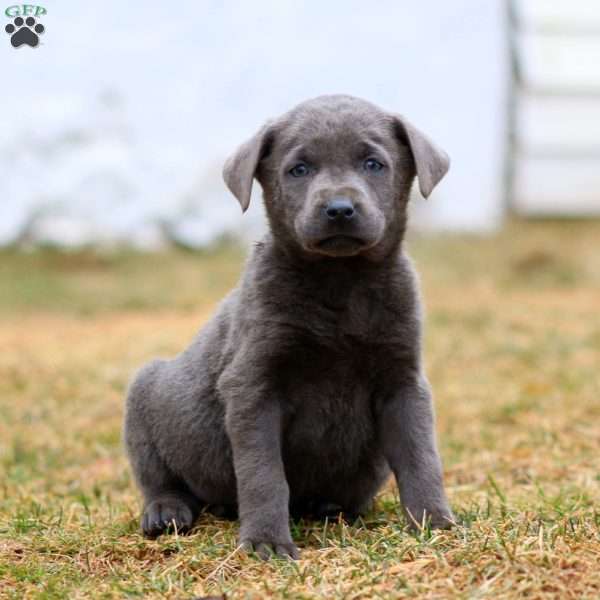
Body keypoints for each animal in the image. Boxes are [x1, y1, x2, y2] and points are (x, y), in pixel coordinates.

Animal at [123, 94, 454, 556]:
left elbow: (421, 457)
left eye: (374, 164)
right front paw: (266, 542)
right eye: (299, 169)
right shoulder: (253, 386)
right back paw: (166, 512)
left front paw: (434, 523)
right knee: (158, 476)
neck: (340, 284)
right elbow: (264, 475)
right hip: (144, 396)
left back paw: (329, 507)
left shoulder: (403, 382)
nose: (339, 209)